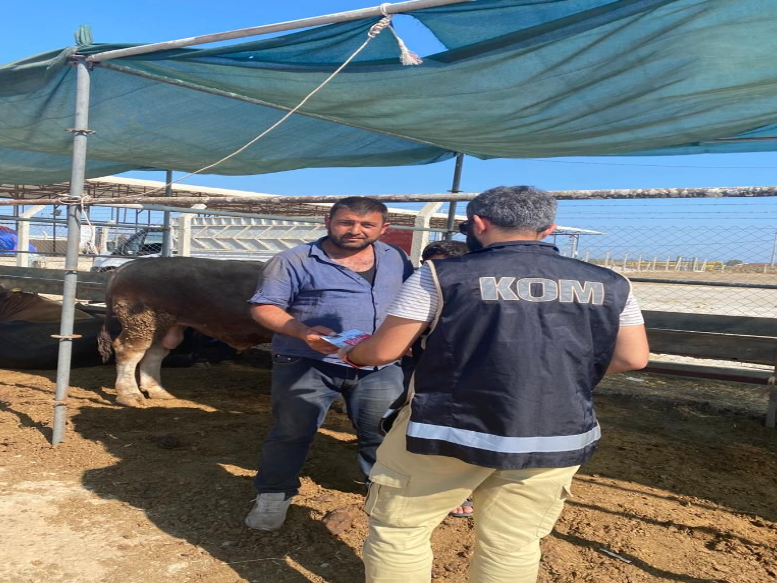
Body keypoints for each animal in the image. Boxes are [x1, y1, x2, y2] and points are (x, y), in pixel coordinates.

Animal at [98, 257, 273, 407]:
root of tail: (128, 265)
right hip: (141, 322)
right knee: (129, 352)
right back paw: (130, 395)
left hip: (164, 326)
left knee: (153, 354)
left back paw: (158, 391)